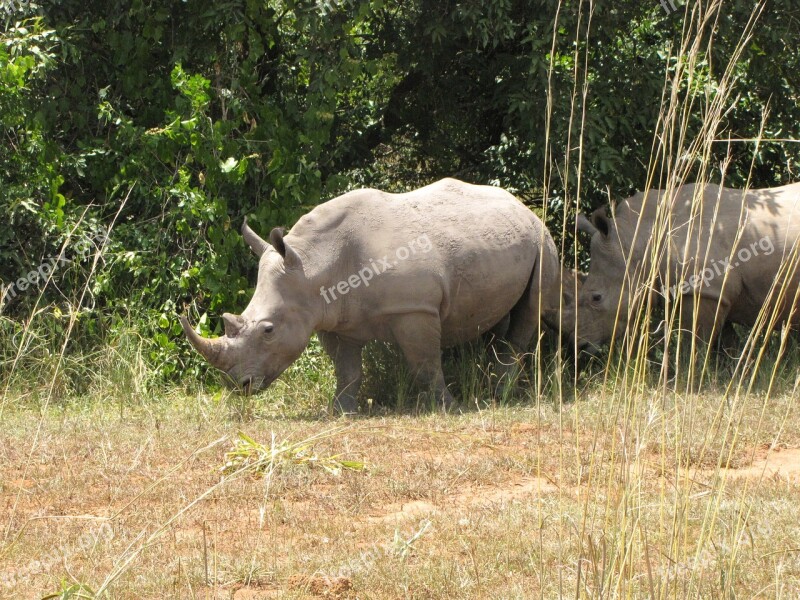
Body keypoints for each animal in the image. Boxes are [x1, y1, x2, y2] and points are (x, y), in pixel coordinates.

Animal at [181, 177, 560, 412]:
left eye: (268, 330)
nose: (238, 385)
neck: (312, 264)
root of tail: (521, 205)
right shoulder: (331, 316)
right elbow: (347, 369)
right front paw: (340, 411)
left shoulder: (414, 309)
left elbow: (425, 364)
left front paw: (447, 408)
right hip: (501, 241)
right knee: (498, 313)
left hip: (543, 240)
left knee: (531, 309)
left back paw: (500, 395)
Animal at [572, 180, 800, 354]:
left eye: (596, 298)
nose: (578, 346)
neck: (636, 240)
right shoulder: (719, 292)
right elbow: (725, 340)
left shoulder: (705, 289)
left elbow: (696, 340)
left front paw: (690, 373)